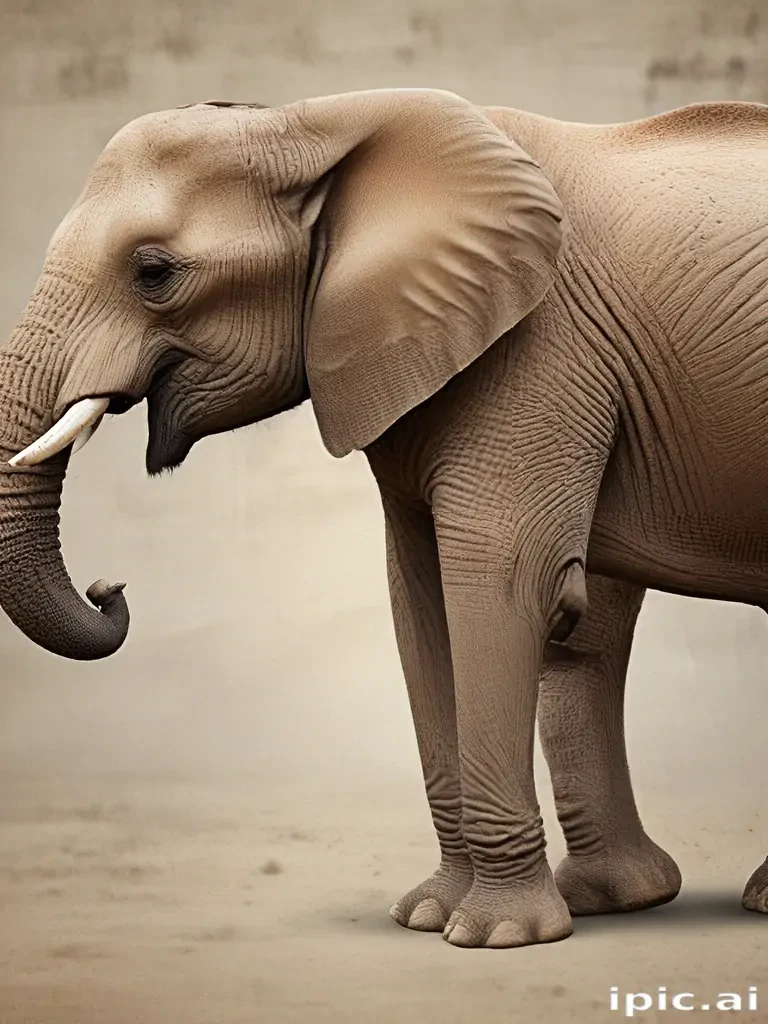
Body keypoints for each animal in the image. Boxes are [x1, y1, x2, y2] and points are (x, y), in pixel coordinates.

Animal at [1, 87, 767, 950]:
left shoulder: (538, 352)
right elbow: (422, 596)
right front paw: (427, 917)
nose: (111, 587)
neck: (313, 123)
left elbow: (499, 587)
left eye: (154, 272)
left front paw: (493, 937)